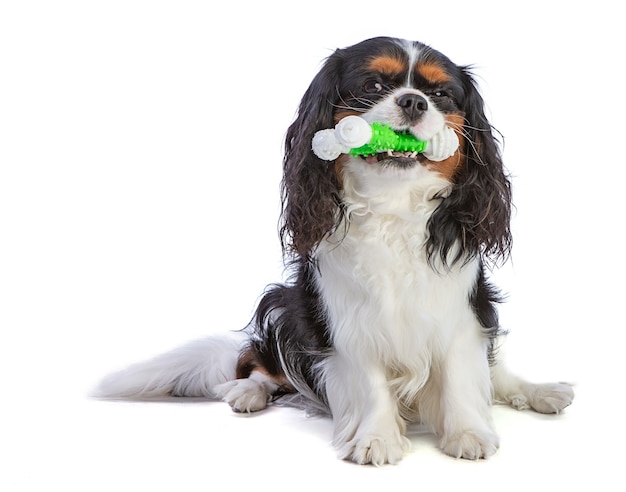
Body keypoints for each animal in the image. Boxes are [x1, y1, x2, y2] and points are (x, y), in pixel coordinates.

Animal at [96, 37, 572, 466]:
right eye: (374, 85)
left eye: (440, 94)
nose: (414, 101)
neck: (393, 205)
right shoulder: (345, 318)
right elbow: (369, 381)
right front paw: (377, 439)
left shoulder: (462, 308)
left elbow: (459, 374)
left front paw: (467, 434)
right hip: (283, 303)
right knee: (259, 362)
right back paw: (248, 390)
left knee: (497, 373)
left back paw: (541, 392)